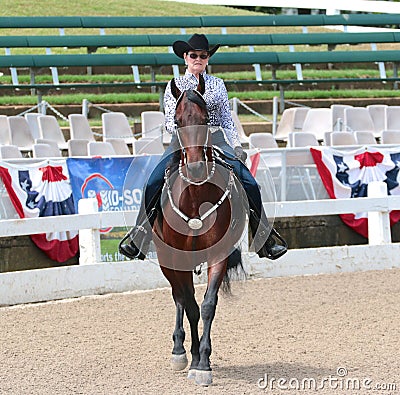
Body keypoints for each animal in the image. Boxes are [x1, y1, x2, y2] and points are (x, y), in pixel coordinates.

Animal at [152, 76, 247, 386]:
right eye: (177, 121)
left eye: (206, 119)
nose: (194, 167)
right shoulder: (177, 259)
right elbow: (190, 305)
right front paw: (194, 359)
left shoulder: (219, 255)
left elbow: (207, 305)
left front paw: (204, 362)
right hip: (168, 261)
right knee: (179, 297)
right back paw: (180, 350)